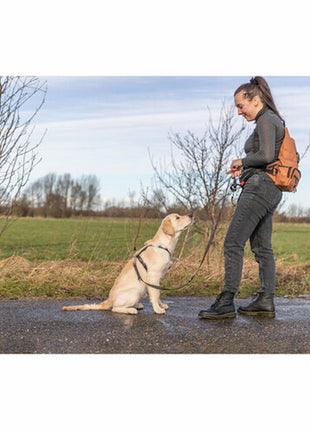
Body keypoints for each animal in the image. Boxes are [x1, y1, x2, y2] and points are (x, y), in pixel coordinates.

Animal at [62, 213, 193, 314]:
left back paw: (136, 305)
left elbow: (158, 294)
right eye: (177, 217)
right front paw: (158, 309)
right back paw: (131, 310)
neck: (163, 245)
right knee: (115, 308)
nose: (191, 215)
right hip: (135, 292)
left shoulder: (158, 278)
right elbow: (155, 294)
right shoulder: (153, 276)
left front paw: (161, 305)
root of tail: (110, 299)